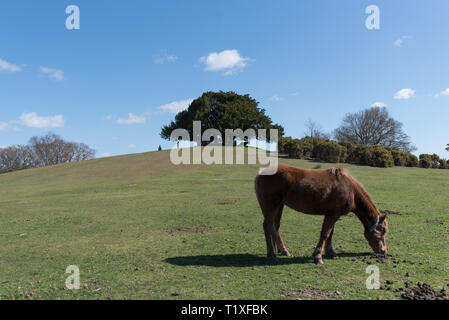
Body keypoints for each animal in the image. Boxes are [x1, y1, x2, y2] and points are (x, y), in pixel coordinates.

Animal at [254, 164, 386, 264]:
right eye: (382, 231)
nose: (384, 251)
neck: (349, 188)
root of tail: (261, 173)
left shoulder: (332, 214)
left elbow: (330, 233)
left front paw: (331, 253)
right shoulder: (333, 214)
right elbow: (325, 234)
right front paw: (318, 256)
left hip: (279, 206)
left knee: (275, 226)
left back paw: (283, 251)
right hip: (271, 205)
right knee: (267, 226)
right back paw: (271, 254)